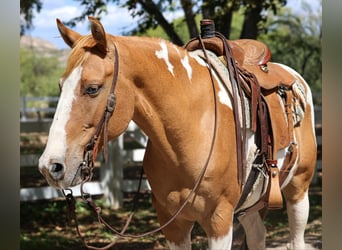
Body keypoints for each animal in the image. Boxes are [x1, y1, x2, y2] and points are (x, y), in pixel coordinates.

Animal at [38, 16, 316, 249]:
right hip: (249, 206)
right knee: (258, 235)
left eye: (92, 88)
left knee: (296, 238)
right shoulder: (173, 224)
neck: (191, 129)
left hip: (298, 190)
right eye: (61, 86)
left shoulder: (219, 220)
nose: (50, 166)